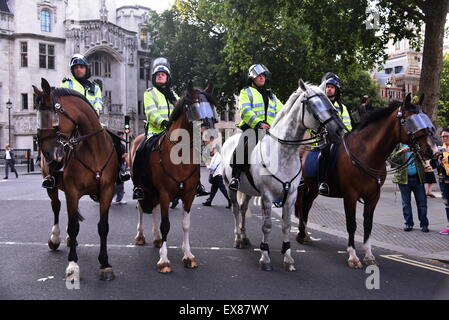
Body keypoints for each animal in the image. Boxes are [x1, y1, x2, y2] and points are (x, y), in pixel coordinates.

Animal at [33, 79, 118, 282]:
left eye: (50, 115)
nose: (46, 153)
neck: (94, 150)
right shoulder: (72, 191)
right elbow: (72, 226)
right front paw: (72, 265)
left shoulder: (107, 190)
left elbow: (103, 227)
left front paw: (105, 263)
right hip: (52, 188)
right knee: (56, 207)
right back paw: (55, 238)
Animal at [129, 81, 216, 274]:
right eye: (195, 108)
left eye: (212, 108)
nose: (212, 138)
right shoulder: (164, 194)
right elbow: (166, 224)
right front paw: (164, 261)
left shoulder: (189, 194)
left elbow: (185, 224)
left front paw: (188, 256)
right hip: (141, 188)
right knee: (140, 208)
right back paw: (140, 236)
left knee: (153, 210)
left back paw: (156, 238)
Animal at [222, 79, 344, 272]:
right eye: (312, 105)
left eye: (330, 102)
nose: (340, 131)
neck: (283, 153)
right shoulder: (267, 196)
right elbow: (267, 226)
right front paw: (265, 257)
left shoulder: (291, 196)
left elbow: (286, 226)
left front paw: (288, 257)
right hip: (230, 186)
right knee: (235, 209)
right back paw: (238, 239)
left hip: (248, 190)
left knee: (242, 208)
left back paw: (244, 236)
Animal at [294, 93, 438, 268]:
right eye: (407, 120)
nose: (433, 150)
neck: (366, 154)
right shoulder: (350, 196)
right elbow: (351, 224)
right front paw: (353, 256)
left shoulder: (373, 197)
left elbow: (368, 224)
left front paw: (369, 255)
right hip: (301, 185)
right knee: (301, 204)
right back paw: (301, 233)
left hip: (313, 187)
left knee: (307, 205)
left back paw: (304, 234)